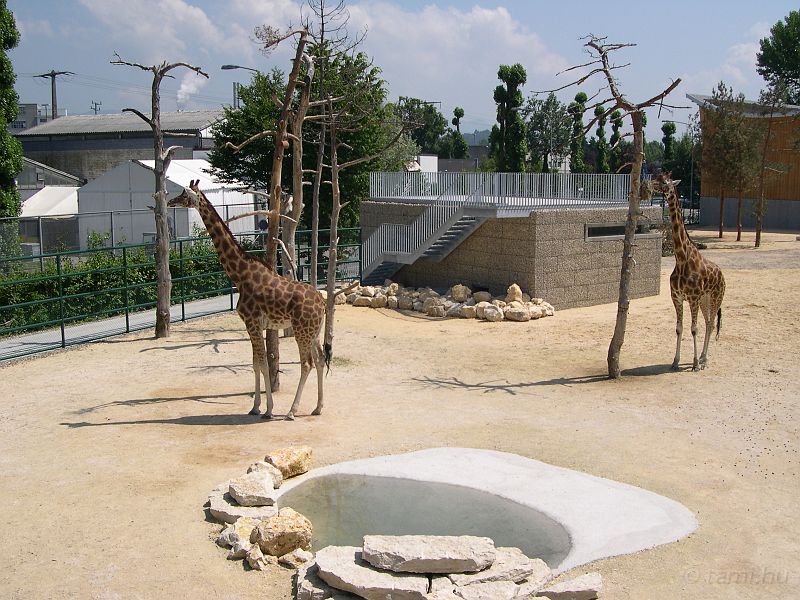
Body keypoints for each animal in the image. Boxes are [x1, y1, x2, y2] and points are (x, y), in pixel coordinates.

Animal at [168, 180, 328, 420]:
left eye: (184, 194)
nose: (170, 202)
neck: (240, 276)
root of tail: (322, 302)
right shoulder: (254, 325)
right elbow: (255, 364)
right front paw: (255, 407)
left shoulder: (252, 322)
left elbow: (262, 363)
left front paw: (268, 410)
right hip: (314, 331)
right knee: (319, 360)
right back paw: (317, 407)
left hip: (302, 330)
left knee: (307, 363)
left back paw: (292, 411)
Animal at [653, 173, 726, 371]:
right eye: (657, 178)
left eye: (666, 182)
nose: (652, 185)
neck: (681, 259)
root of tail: (722, 275)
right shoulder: (677, 297)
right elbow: (679, 328)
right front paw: (675, 361)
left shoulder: (692, 298)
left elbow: (694, 329)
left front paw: (693, 364)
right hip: (704, 299)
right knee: (708, 322)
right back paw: (702, 356)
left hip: (716, 297)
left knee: (710, 324)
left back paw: (703, 360)